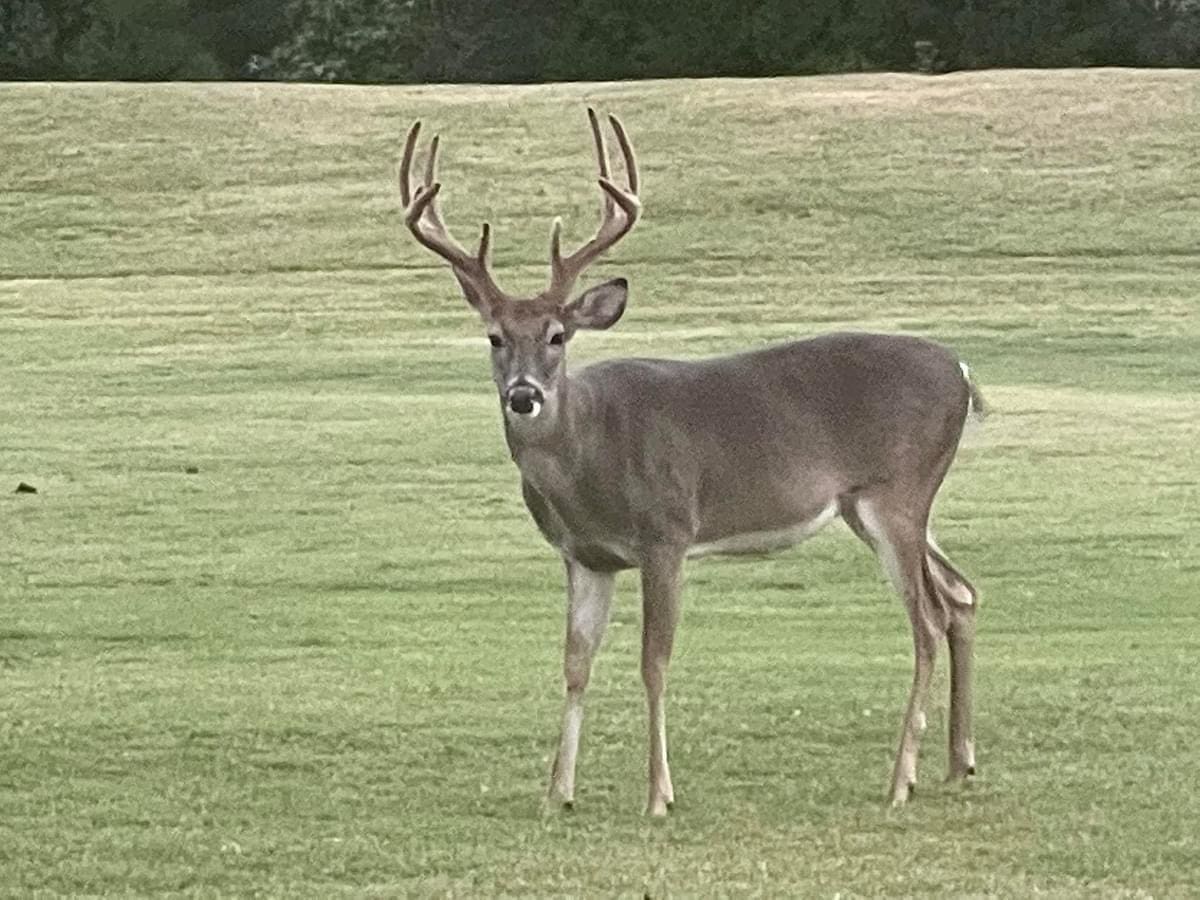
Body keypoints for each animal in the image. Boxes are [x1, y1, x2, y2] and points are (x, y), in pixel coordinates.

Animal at [398, 109, 979, 816]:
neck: (589, 462)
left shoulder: (666, 531)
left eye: (558, 336)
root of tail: (962, 370)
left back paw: (901, 780)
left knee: (927, 619)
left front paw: (658, 795)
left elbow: (654, 661)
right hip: (888, 505)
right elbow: (575, 663)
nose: (524, 396)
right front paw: (557, 794)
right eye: (494, 337)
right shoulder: (584, 555)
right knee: (961, 595)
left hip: (895, 493)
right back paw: (957, 763)